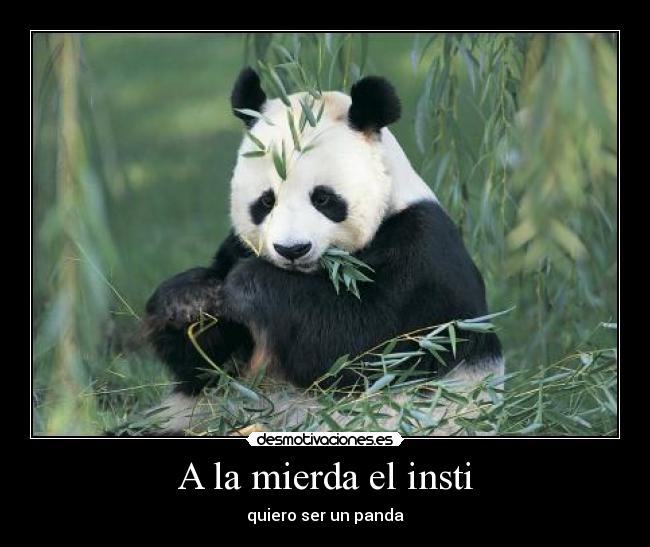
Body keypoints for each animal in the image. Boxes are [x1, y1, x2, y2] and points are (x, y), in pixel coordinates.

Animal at [143, 67, 503, 435]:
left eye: (323, 199)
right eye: (266, 201)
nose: (292, 249)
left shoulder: (422, 256)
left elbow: (361, 346)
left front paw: (249, 284)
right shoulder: (235, 247)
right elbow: (209, 368)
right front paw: (188, 299)